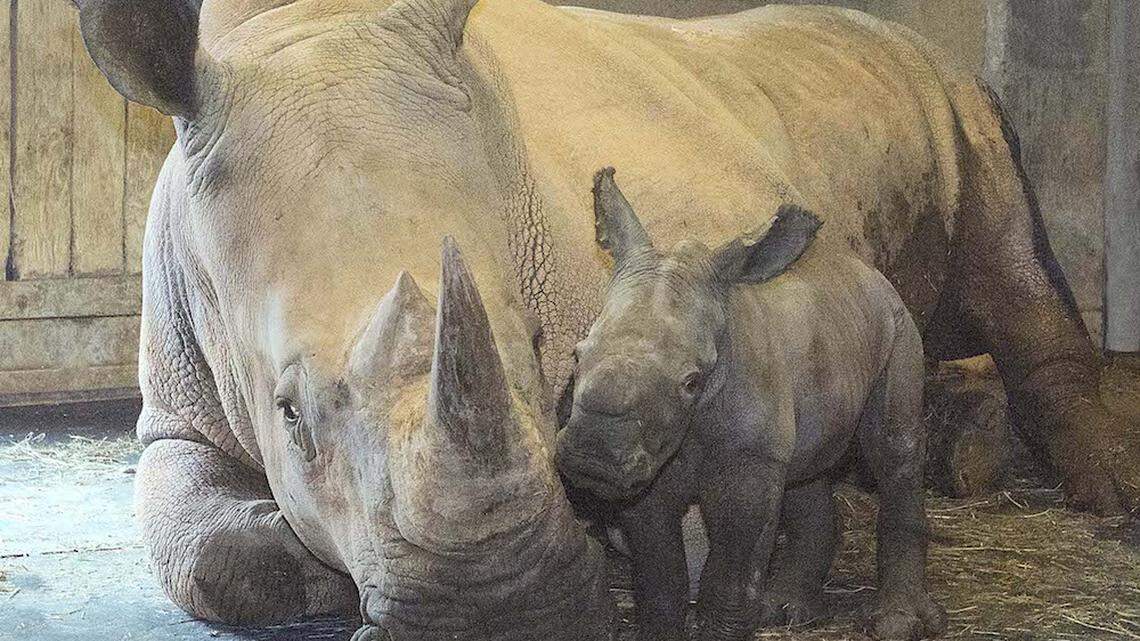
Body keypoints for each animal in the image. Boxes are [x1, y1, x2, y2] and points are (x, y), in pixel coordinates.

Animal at [71, 0, 1139, 636]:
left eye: (545, 352)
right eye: (289, 414)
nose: (501, 610)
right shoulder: (178, 398)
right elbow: (207, 550)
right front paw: (311, 566)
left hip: (956, 102)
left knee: (1017, 278)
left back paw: (1101, 495)